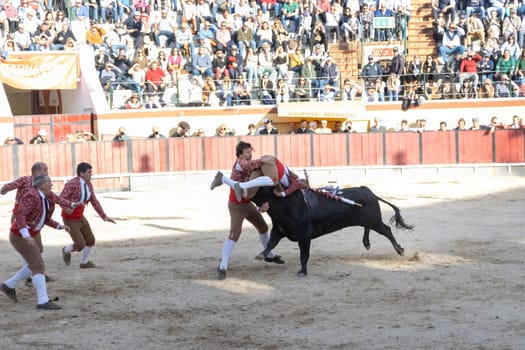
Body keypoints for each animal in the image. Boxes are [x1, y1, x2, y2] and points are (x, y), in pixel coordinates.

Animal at [250, 186, 414, 276]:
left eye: (261, 187)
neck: (285, 203)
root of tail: (366, 190)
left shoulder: (304, 237)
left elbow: (304, 255)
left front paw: (302, 271)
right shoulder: (278, 230)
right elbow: (270, 244)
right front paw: (262, 255)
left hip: (373, 220)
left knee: (386, 230)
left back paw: (399, 250)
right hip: (368, 219)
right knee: (368, 227)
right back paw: (366, 243)